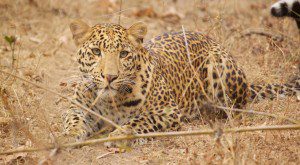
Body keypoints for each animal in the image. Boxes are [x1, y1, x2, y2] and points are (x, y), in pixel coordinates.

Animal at [62, 19, 298, 147]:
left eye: (124, 54)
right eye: (96, 52)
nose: (110, 77)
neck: (111, 101)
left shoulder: (167, 111)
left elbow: (138, 121)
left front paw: (120, 134)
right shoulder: (77, 106)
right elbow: (73, 119)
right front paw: (68, 136)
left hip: (218, 66)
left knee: (237, 108)